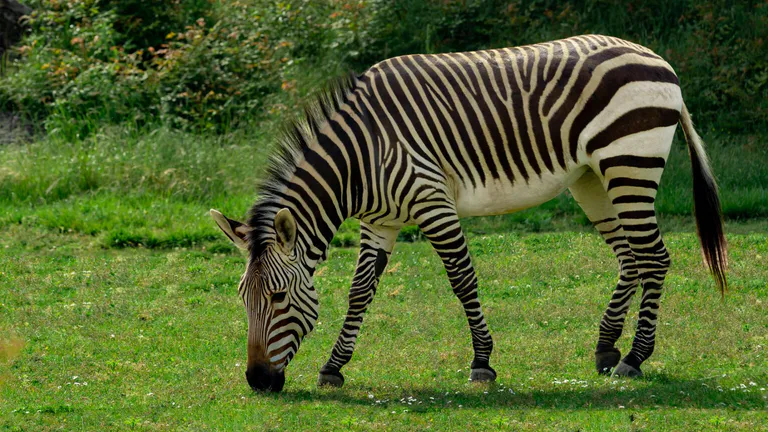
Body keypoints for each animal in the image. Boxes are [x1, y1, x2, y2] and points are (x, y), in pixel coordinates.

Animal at [210, 35, 727, 392]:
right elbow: (359, 294)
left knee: (654, 258)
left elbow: (462, 280)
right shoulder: (379, 223)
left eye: (278, 298)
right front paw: (334, 367)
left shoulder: (432, 201)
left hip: (629, 163)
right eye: (241, 299)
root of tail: (655, 58)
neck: (361, 156)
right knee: (629, 258)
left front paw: (482, 362)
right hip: (592, 179)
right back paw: (605, 347)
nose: (258, 382)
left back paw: (634, 358)